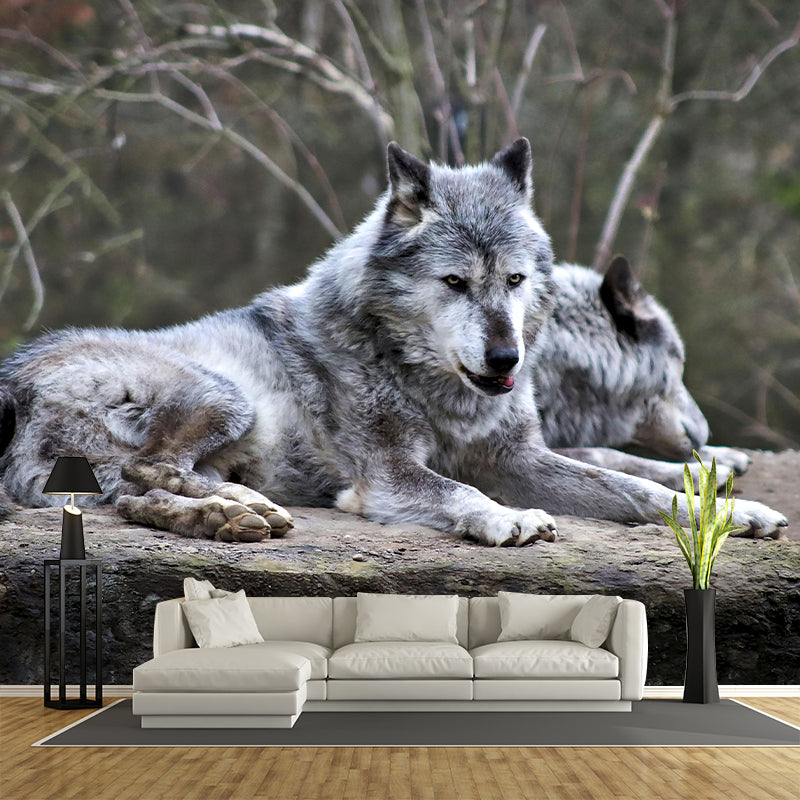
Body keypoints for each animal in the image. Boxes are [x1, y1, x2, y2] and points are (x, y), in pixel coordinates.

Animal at [0, 139, 788, 544]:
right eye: (455, 283)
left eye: (514, 280)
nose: (505, 359)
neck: (429, 382)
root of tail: (16, 372)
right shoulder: (392, 472)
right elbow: (459, 489)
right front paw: (503, 518)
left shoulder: (521, 457)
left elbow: (633, 485)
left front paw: (730, 509)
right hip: (224, 399)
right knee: (142, 480)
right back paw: (236, 508)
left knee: (136, 494)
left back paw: (233, 510)